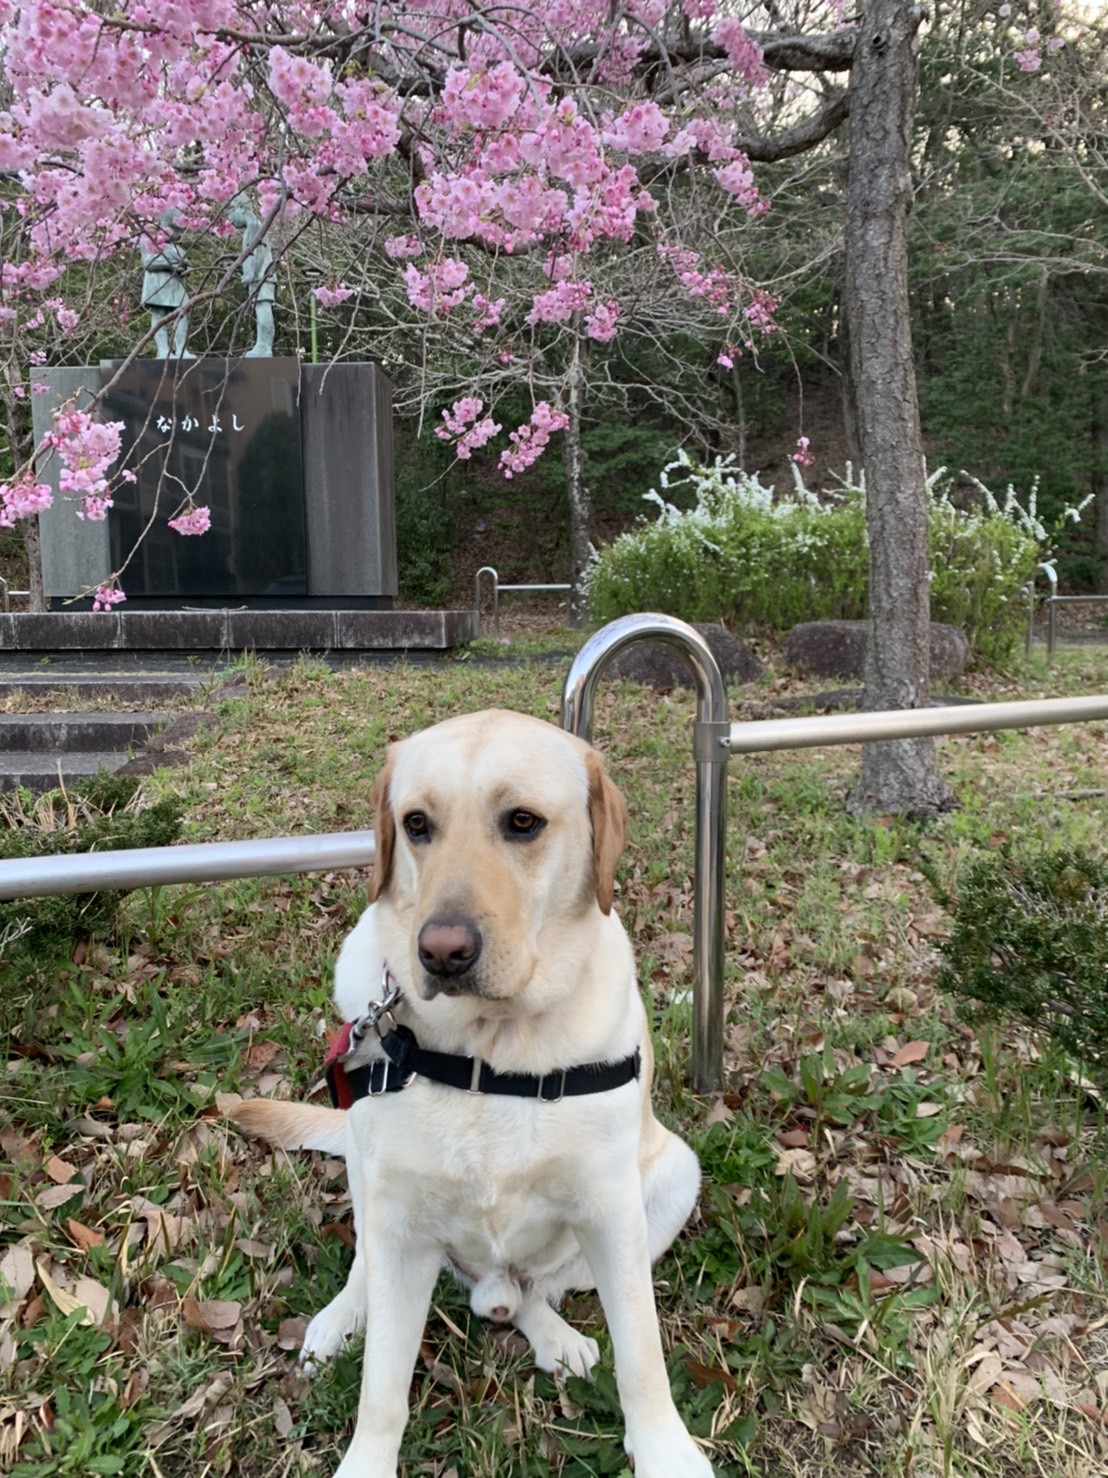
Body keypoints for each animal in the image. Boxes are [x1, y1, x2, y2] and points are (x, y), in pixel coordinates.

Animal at [236, 709, 712, 1472]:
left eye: (522, 822)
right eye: (416, 824)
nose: (442, 952)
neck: (490, 1046)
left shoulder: (611, 1210)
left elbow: (643, 1351)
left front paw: (667, 1450)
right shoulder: (401, 1224)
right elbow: (381, 1390)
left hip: (672, 1177)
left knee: (535, 1290)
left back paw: (551, 1334)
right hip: (368, 1168)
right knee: (369, 1263)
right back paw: (344, 1317)